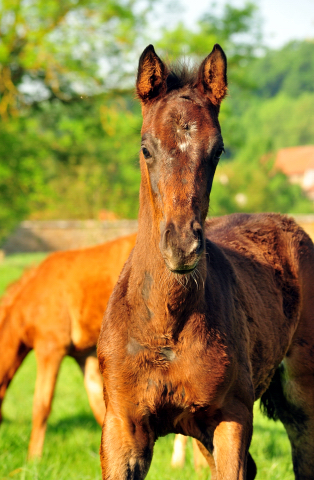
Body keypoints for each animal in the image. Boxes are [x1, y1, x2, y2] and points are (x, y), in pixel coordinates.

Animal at [97, 43, 314, 478]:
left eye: (217, 150)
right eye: (146, 148)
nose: (182, 245)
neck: (163, 327)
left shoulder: (232, 418)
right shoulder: (121, 427)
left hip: (301, 393)